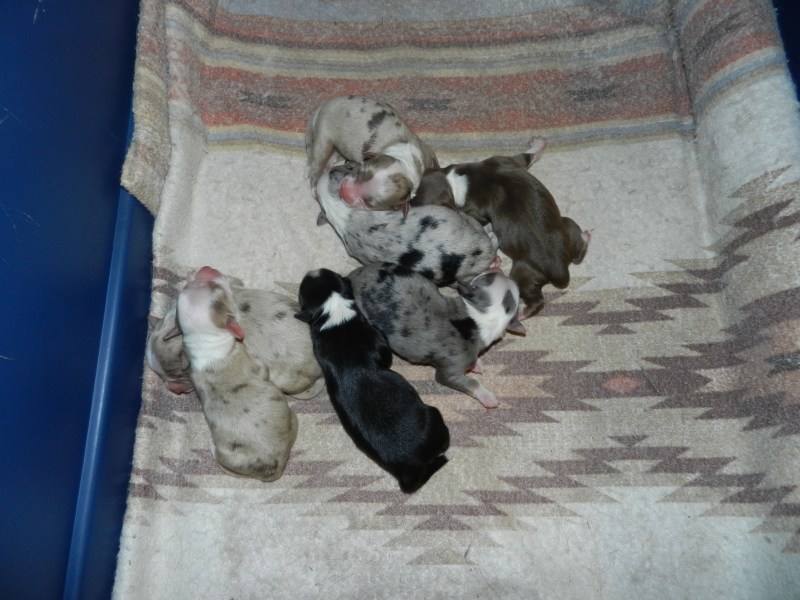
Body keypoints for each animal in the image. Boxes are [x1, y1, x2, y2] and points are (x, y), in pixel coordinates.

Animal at [176, 266, 299, 482]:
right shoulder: (255, 365)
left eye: (189, 284)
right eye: (217, 288)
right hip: (292, 420)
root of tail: (271, 469)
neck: (204, 341)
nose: (207, 268)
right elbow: (263, 371)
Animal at [305, 96, 439, 214]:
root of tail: (322, 107)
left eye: (370, 203)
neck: (406, 162)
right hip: (324, 136)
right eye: (359, 172)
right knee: (316, 165)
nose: (342, 191)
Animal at [349, 263, 525, 408]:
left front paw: (477, 364)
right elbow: (471, 382)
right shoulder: (450, 373)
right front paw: (489, 397)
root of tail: (351, 276)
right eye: (486, 278)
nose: (497, 268)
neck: (480, 316)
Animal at [412, 139, 590, 317]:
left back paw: (522, 312)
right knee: (578, 253)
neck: (453, 180)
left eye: (422, 204)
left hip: (523, 271)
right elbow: (525, 156)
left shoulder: (475, 212)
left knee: (536, 299)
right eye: (413, 195)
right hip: (567, 225)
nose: (409, 207)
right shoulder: (504, 160)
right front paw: (538, 144)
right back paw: (586, 236)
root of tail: (560, 270)